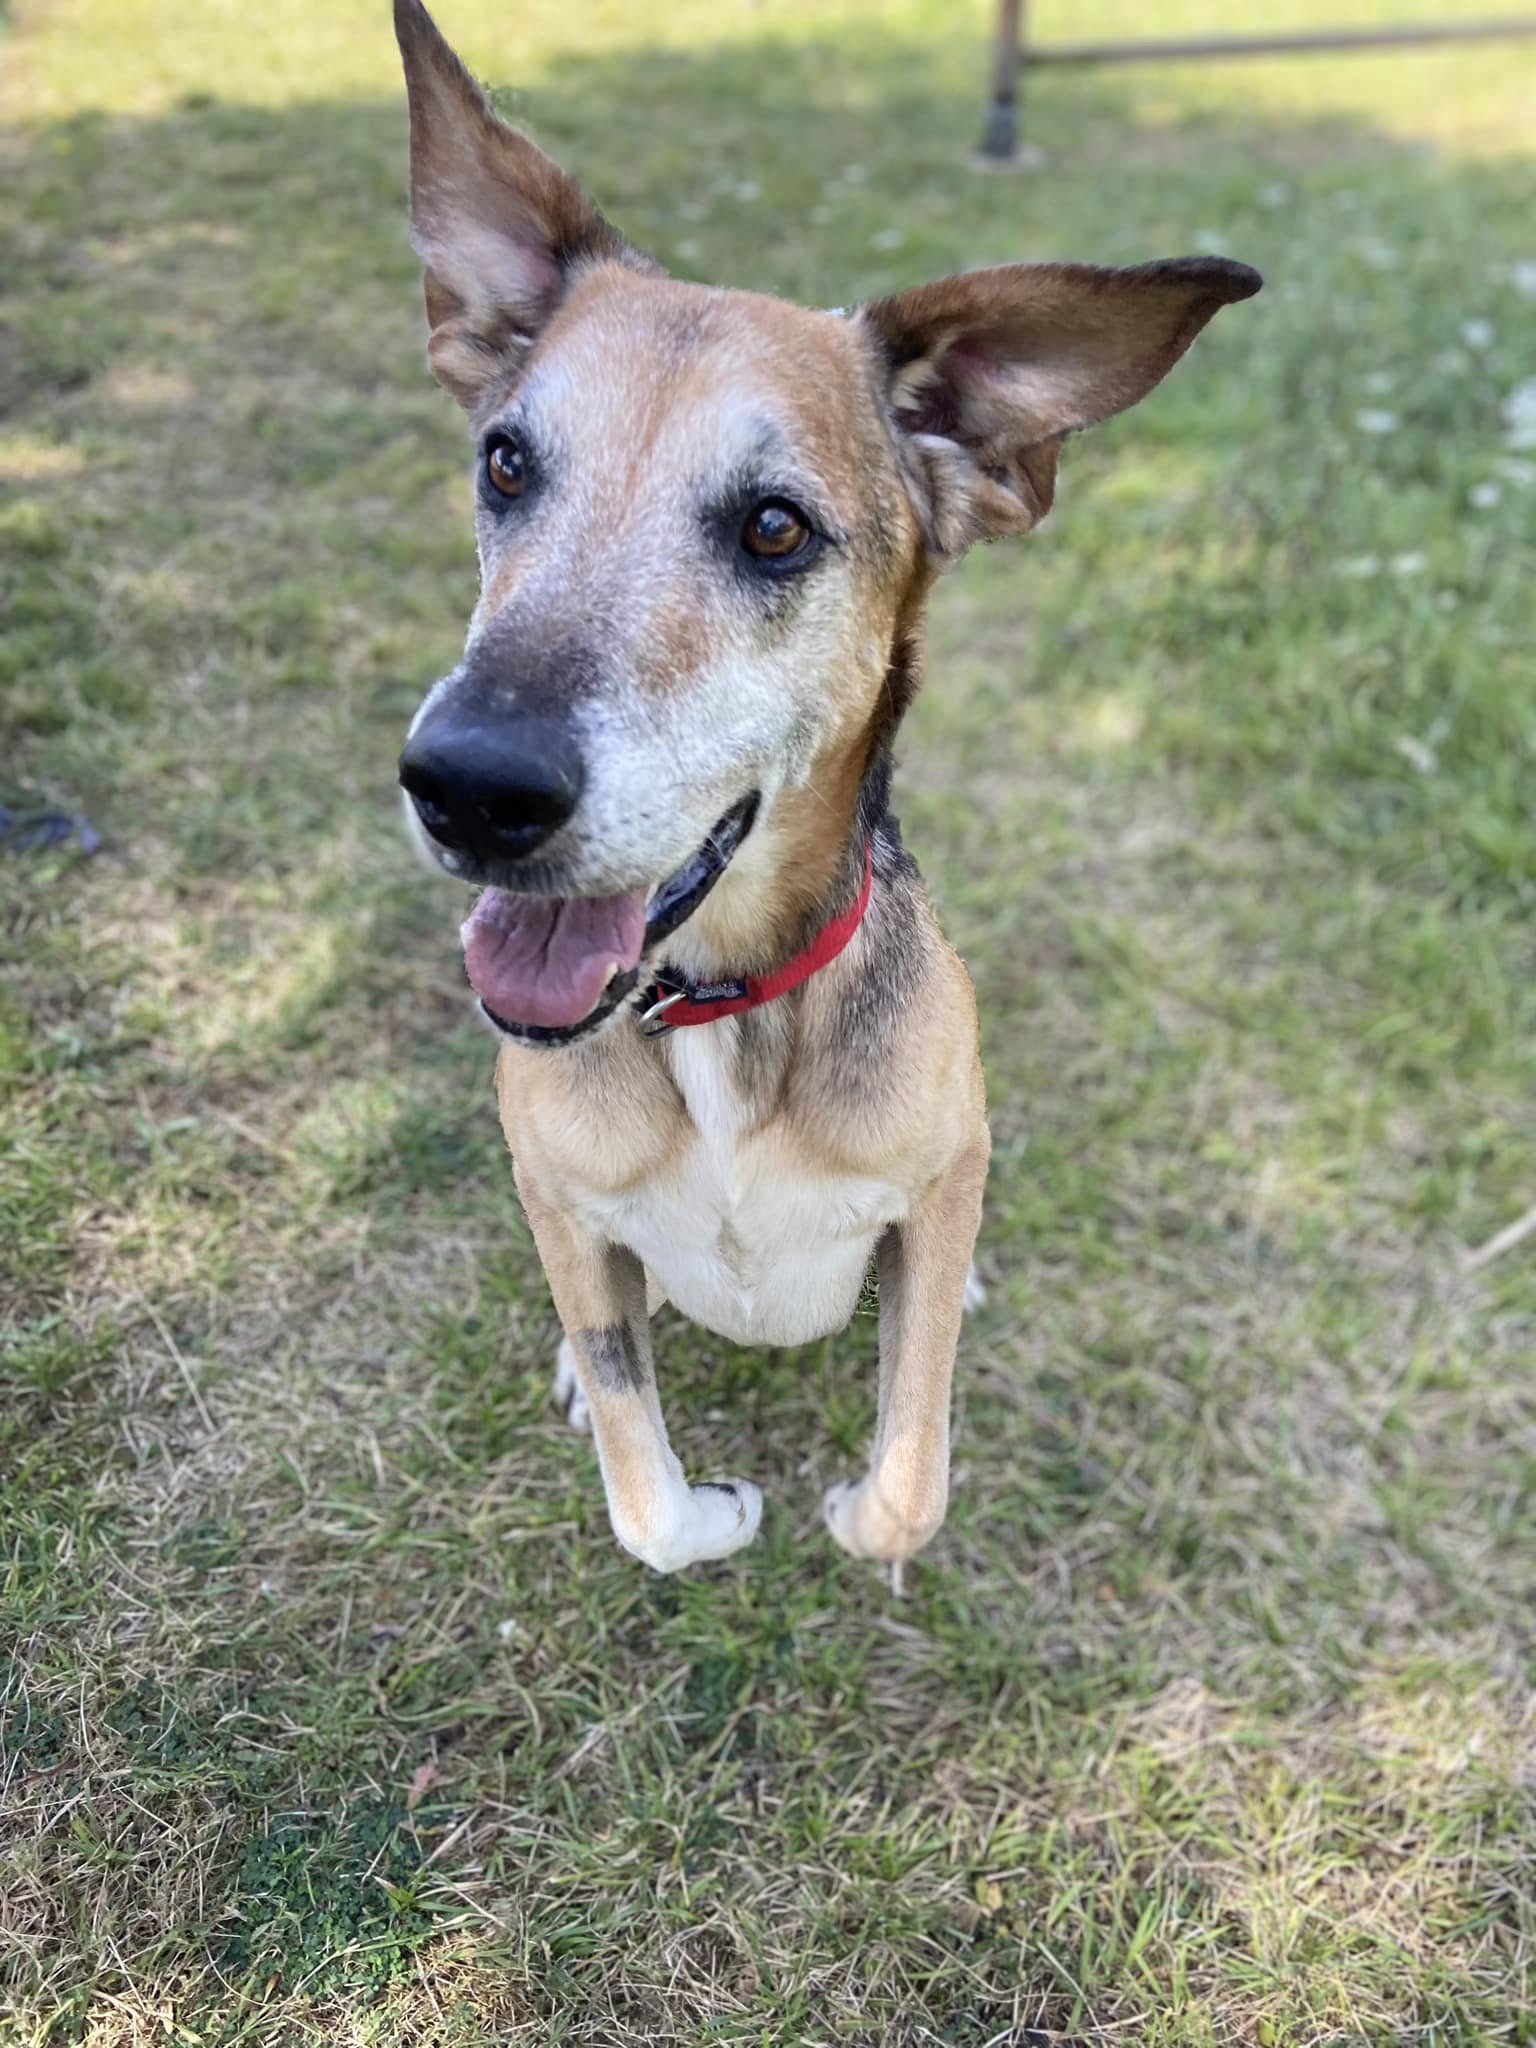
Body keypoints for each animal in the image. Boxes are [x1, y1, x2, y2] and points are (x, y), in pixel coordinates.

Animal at [392, 0, 1259, 1574]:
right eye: (505, 463)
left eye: (776, 528)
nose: (470, 788)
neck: (720, 1010)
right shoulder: (557, 1194)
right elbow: (645, 1488)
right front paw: (705, 1500)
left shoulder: (940, 1173)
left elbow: (909, 1477)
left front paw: (855, 1501)